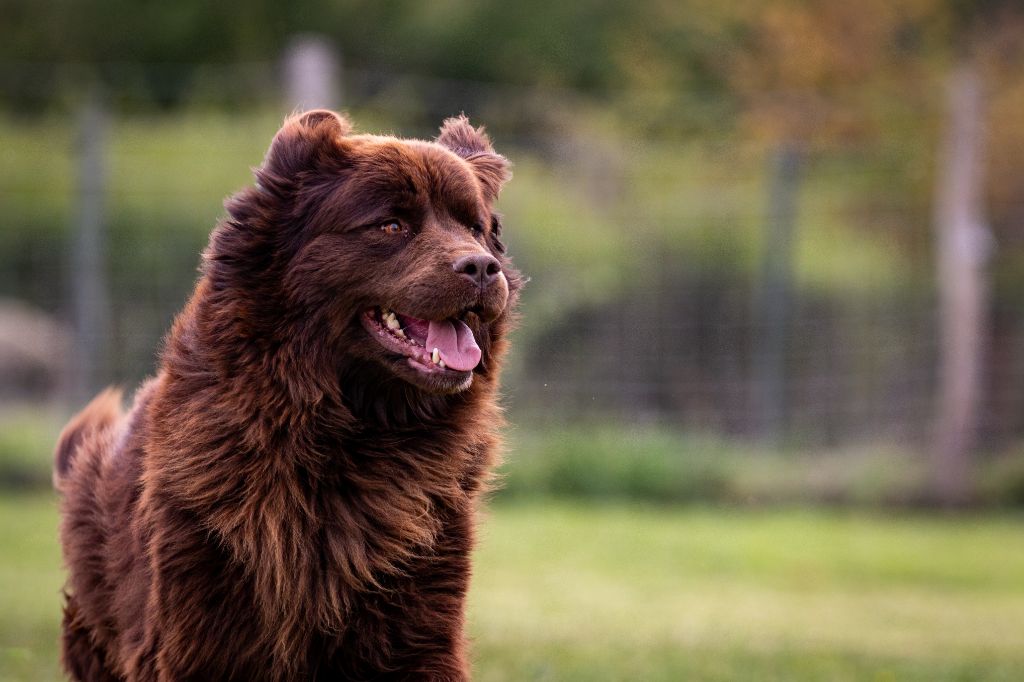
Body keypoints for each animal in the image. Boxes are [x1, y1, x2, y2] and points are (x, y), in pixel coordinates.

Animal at [55, 111, 520, 679]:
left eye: (474, 227)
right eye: (391, 226)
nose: (481, 267)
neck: (350, 437)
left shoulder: (420, 621)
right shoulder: (199, 632)